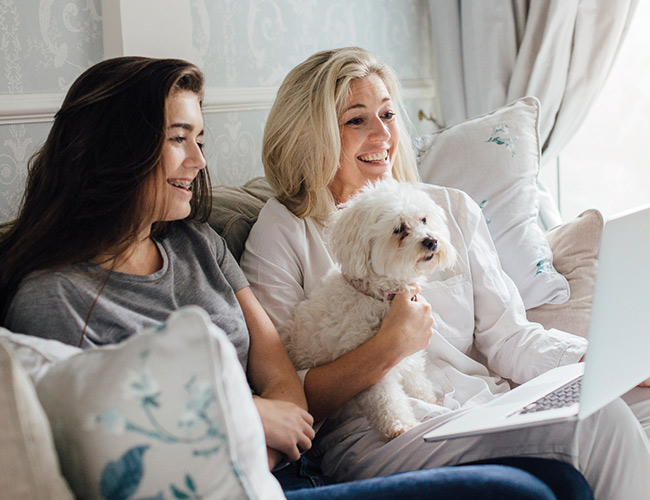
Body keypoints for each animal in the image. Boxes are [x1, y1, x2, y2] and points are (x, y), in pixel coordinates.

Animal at [282, 178, 456, 440]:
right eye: (399, 229)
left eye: (423, 220)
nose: (431, 241)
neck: (380, 297)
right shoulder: (373, 365)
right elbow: (387, 399)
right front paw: (400, 425)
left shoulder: (408, 353)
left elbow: (416, 378)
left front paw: (427, 398)